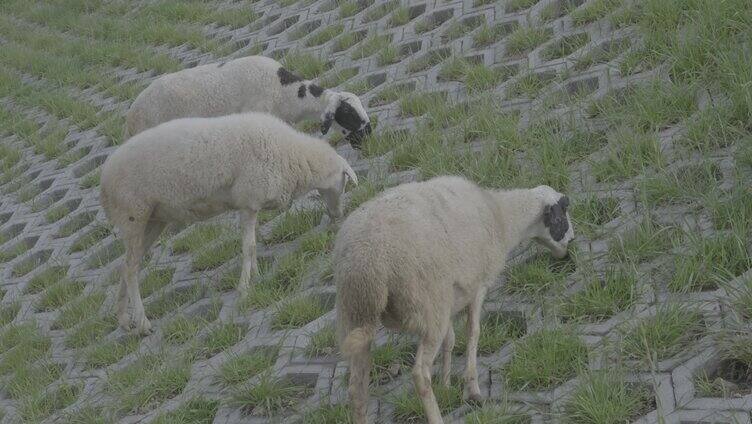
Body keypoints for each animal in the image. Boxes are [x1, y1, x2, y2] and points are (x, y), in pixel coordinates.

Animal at [100, 110, 358, 334]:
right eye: (344, 182)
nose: (338, 216)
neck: (293, 157)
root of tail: (104, 181)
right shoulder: (248, 200)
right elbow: (249, 246)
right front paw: (244, 287)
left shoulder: (251, 204)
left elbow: (252, 245)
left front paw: (255, 276)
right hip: (133, 214)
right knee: (131, 269)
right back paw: (142, 322)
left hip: (153, 220)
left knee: (127, 264)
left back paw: (124, 319)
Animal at [332, 175, 572, 424]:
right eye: (562, 215)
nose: (570, 244)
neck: (500, 214)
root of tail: (366, 263)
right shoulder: (477, 286)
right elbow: (473, 332)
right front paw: (472, 389)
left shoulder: (448, 301)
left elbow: (451, 340)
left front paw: (446, 385)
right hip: (425, 305)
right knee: (420, 373)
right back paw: (436, 416)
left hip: (356, 316)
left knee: (356, 389)